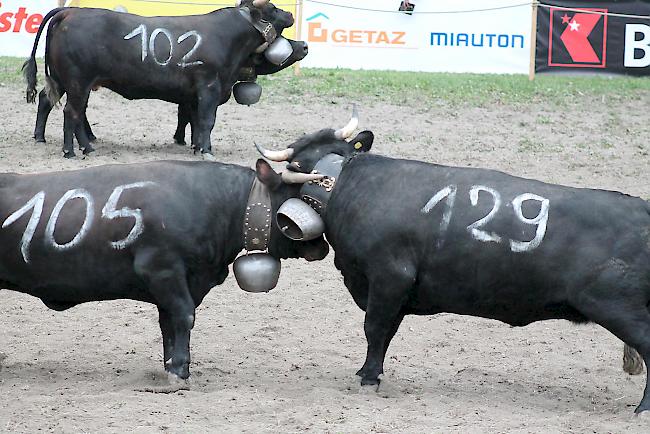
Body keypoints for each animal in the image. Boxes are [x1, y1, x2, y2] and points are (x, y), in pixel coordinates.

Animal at [0, 159, 326, 380]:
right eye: (299, 199)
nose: (322, 246)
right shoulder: (162, 271)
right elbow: (183, 316)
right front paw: (179, 371)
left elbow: (168, 323)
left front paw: (172, 365)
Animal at [256, 109, 648, 414]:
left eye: (294, 166)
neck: (348, 186)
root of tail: (641, 208)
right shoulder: (398, 291)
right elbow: (387, 333)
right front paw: (372, 373)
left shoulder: (388, 277)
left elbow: (375, 328)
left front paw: (367, 379)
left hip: (618, 307)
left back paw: (641, 409)